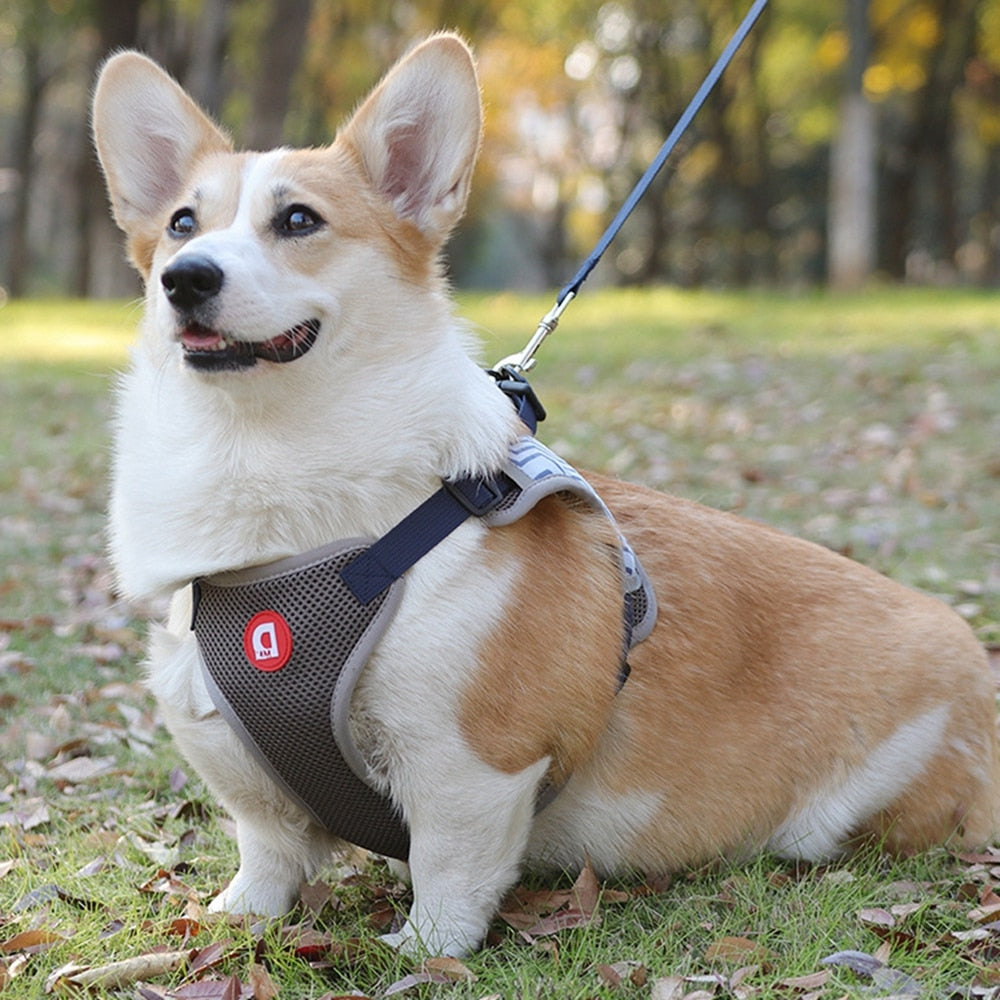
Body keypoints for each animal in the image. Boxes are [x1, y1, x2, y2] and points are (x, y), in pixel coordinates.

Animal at [90, 35, 996, 956]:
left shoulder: (471, 762)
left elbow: (448, 873)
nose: (185, 279)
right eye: (182, 225)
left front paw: (420, 957)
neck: (267, 464)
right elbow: (267, 849)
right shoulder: (233, 755)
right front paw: (235, 920)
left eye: (300, 221)